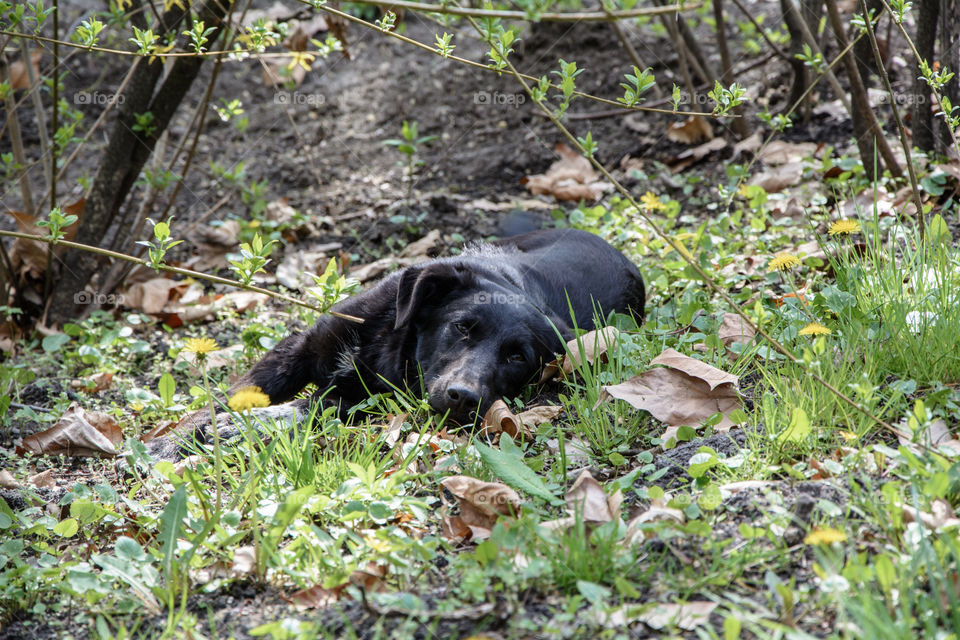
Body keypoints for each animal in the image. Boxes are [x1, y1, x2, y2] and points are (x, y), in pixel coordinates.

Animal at [239, 228, 644, 422]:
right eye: (462, 328)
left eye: (518, 357)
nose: (463, 398)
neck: (384, 346)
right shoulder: (301, 346)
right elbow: (248, 390)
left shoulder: (360, 400)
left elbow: (304, 407)